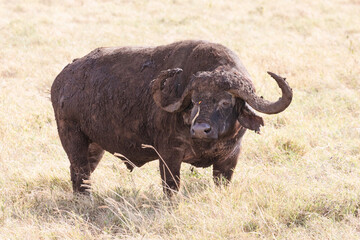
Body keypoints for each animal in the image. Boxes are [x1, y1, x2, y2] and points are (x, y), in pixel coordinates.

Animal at [51, 40, 292, 196]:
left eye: (226, 102)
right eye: (194, 101)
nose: (200, 129)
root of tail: (62, 79)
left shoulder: (230, 157)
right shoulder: (168, 155)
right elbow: (171, 188)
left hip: (94, 146)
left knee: (80, 173)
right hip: (71, 136)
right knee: (80, 173)